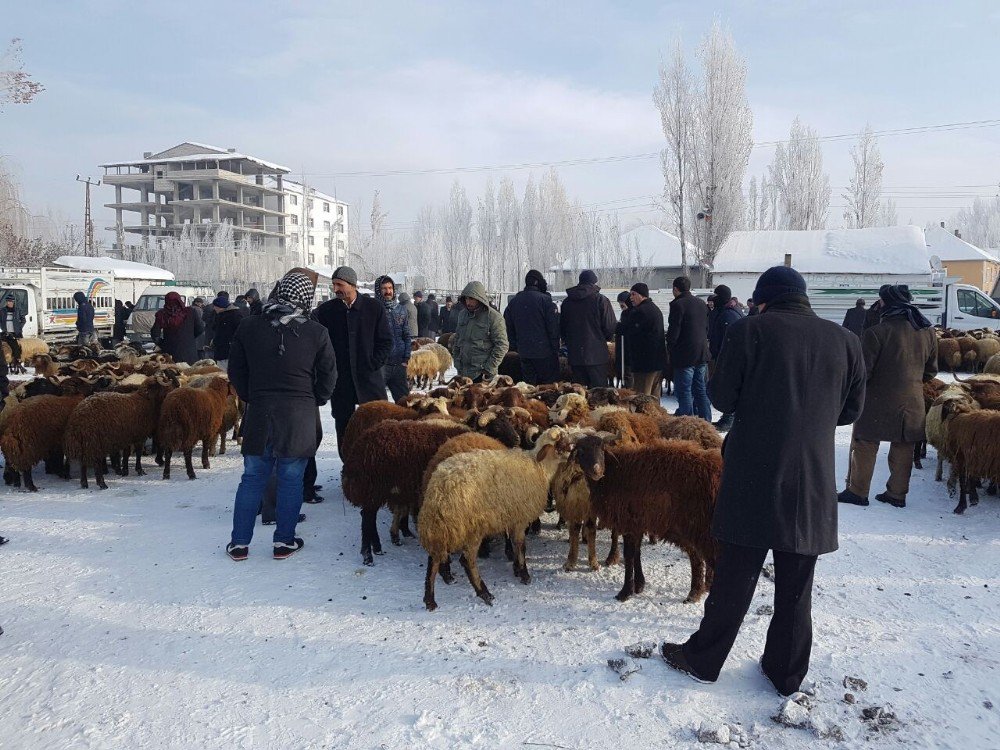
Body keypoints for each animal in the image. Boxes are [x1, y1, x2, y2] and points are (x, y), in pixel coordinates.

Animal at [416, 428, 572, 612]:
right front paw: (525, 575)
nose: (574, 455)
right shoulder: (520, 518)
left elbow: (514, 545)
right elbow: (521, 546)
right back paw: (484, 593)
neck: (539, 467)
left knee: (434, 559)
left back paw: (430, 600)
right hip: (470, 528)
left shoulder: (511, 519)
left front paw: (517, 569)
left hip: (442, 529)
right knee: (467, 561)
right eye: (562, 443)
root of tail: (438, 490)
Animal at [572, 440, 728, 604]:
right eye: (581, 452)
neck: (614, 472)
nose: (596, 471)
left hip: (697, 526)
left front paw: (625, 592)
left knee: (702, 558)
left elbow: (629, 554)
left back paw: (696, 592)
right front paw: (639, 585)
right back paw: (699, 591)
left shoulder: (629, 522)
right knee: (700, 557)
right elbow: (636, 552)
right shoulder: (638, 522)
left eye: (602, 449)